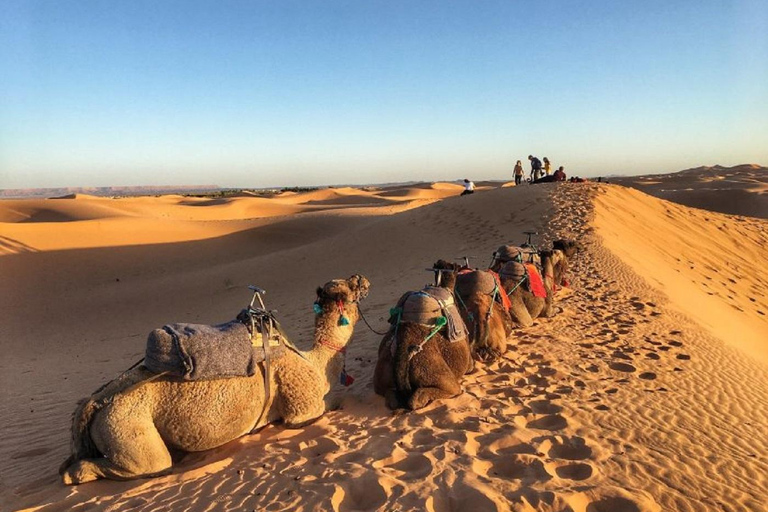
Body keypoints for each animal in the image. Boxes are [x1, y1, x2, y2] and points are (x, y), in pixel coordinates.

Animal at [58, 274, 370, 482]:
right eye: (352, 287)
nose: (362, 278)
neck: (312, 361)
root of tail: (95, 402)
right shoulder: (302, 406)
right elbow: (326, 406)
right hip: (126, 427)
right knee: (143, 465)